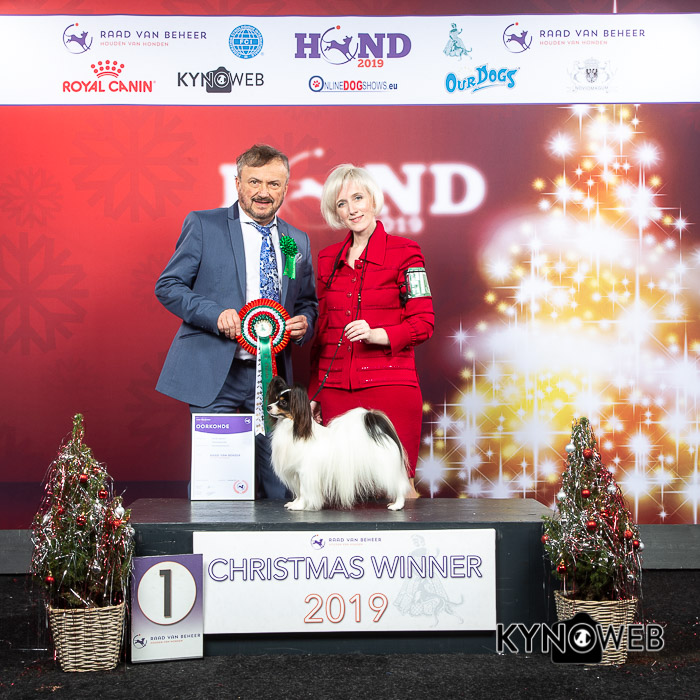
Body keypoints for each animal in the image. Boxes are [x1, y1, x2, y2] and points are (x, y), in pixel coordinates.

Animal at [266, 376, 411, 511]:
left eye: (283, 402)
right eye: (276, 399)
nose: (268, 407)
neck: (293, 428)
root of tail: (378, 431)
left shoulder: (305, 472)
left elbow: (303, 491)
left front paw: (299, 506)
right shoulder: (296, 473)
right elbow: (299, 492)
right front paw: (295, 503)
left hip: (385, 469)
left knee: (399, 485)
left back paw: (397, 505)